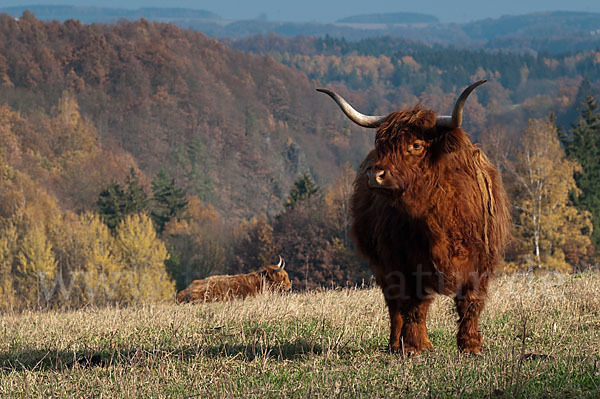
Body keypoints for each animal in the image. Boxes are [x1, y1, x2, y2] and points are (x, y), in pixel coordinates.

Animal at [318, 81, 510, 356]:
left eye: (417, 145)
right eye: (382, 144)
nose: (375, 175)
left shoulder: (481, 259)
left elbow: (471, 303)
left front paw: (471, 345)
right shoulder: (403, 262)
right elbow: (413, 305)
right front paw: (411, 346)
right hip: (381, 265)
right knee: (395, 305)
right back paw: (398, 343)